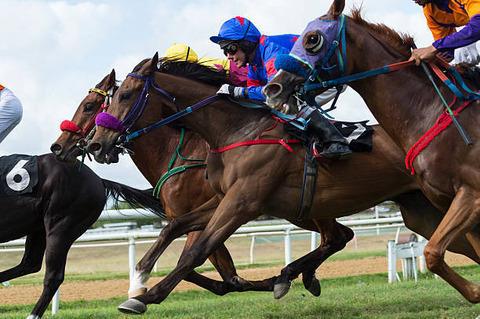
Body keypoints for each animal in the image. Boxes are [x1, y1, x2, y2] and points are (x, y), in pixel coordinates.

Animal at [0, 154, 164, 318]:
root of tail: (98, 179)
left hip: (60, 227)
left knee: (52, 277)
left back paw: (32, 315)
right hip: (40, 227)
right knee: (30, 263)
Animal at [83, 55, 480, 316]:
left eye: (126, 95)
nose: (97, 145)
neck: (235, 131)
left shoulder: (243, 203)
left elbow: (195, 252)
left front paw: (146, 296)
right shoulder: (223, 198)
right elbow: (173, 227)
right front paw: (138, 278)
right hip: (423, 211)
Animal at [264, 0, 480, 304]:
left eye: (312, 39)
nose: (273, 88)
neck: (432, 111)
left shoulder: (472, 195)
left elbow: (432, 253)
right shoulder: (451, 200)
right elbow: (437, 253)